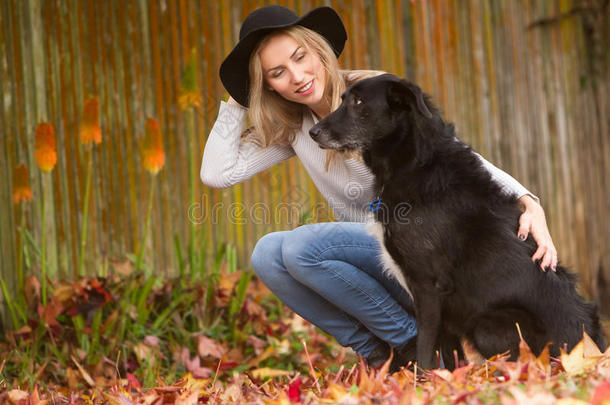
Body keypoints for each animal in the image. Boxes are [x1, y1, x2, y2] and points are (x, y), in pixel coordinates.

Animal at [308, 72, 604, 370]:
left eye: (358, 102)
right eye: (343, 99)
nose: (313, 132)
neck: (413, 163)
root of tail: (594, 352)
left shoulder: (428, 286)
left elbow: (426, 347)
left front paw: (421, 379)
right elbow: (447, 354)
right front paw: (448, 379)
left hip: (490, 324)